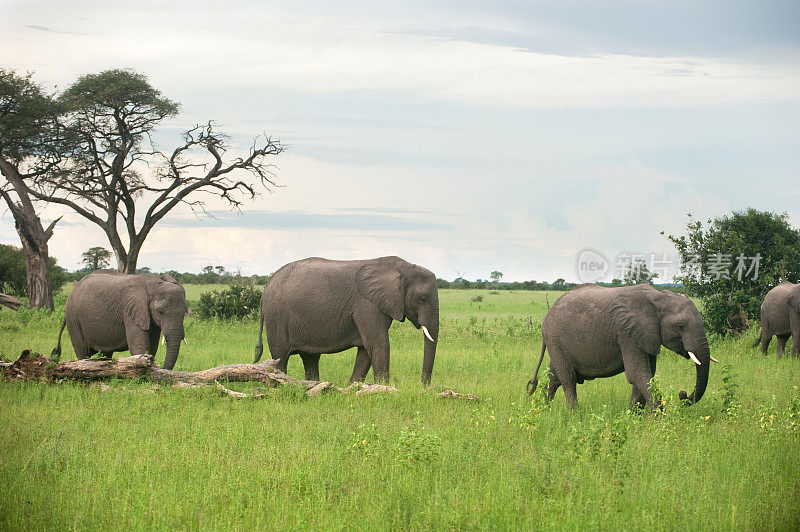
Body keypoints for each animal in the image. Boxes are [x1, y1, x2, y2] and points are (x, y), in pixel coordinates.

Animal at [54, 270, 190, 370]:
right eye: (160, 312)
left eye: (185, 312)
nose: (162, 368)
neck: (154, 283)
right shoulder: (130, 309)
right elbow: (139, 345)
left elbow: (153, 345)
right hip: (73, 317)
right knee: (82, 350)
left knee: (105, 353)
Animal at [255, 256, 438, 384]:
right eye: (423, 299)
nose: (424, 386)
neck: (403, 268)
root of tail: (266, 288)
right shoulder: (367, 304)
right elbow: (378, 344)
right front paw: (385, 389)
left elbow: (366, 348)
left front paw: (353, 387)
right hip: (276, 317)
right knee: (280, 357)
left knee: (310, 358)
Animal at [524, 284, 720, 410]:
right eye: (681, 326)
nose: (683, 394)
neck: (658, 297)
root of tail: (548, 313)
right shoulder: (626, 333)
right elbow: (638, 374)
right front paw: (659, 422)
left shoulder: (645, 335)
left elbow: (646, 375)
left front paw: (633, 416)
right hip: (553, 337)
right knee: (568, 378)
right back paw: (575, 415)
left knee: (553, 377)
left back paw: (543, 410)